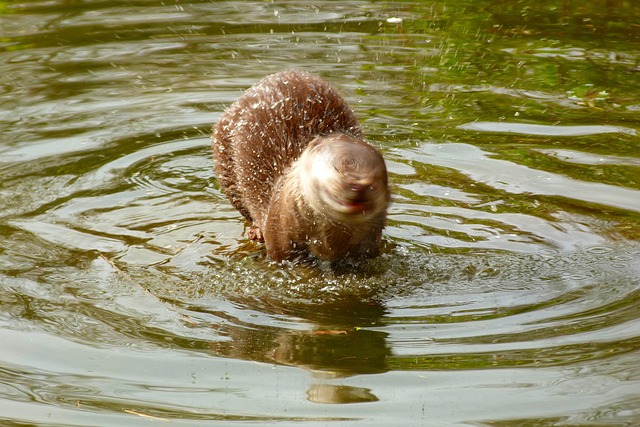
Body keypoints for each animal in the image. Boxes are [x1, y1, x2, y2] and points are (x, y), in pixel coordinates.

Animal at [212, 70, 389, 262]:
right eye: (334, 169)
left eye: (373, 179)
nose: (357, 186)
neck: (331, 245)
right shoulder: (280, 236)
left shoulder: (370, 242)